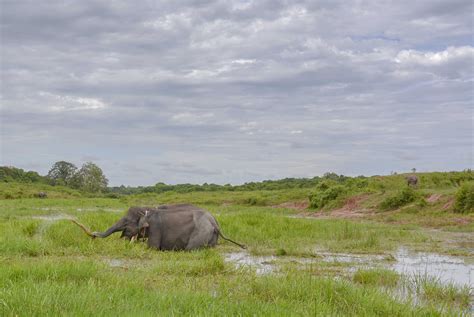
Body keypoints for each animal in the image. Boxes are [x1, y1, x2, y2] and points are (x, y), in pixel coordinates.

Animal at [73, 204, 248, 251]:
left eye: (126, 222)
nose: (93, 236)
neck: (147, 209)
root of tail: (215, 224)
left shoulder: (156, 229)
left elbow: (152, 248)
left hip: (200, 233)